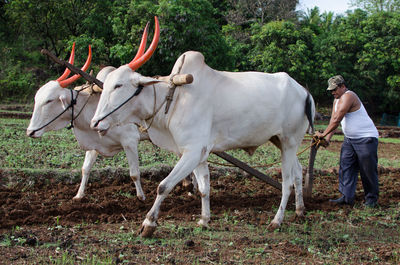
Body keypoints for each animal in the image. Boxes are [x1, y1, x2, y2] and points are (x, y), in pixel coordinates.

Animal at [90, 16, 316, 236]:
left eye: (118, 85)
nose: (95, 123)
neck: (173, 97)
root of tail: (304, 92)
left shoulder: (192, 151)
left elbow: (163, 186)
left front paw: (149, 223)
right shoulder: (199, 154)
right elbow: (203, 188)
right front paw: (204, 220)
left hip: (290, 141)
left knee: (287, 182)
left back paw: (276, 221)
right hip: (281, 141)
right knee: (298, 172)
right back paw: (300, 211)